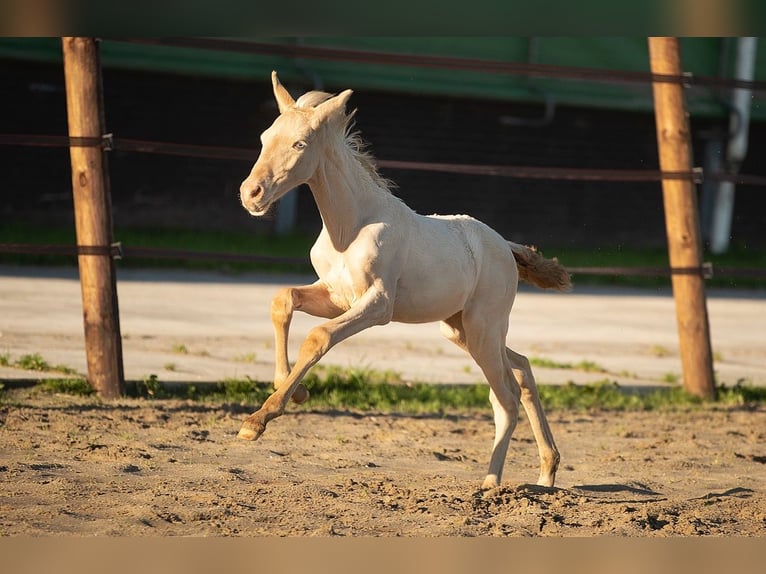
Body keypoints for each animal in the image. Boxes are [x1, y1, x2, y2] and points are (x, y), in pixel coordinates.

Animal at [238, 73, 568, 490]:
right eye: (265, 137)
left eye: (300, 143)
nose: (251, 194)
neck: (352, 226)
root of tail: (506, 247)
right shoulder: (336, 296)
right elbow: (283, 300)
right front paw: (295, 392)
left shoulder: (378, 305)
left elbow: (319, 336)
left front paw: (258, 421)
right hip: (459, 329)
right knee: (522, 369)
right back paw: (546, 473)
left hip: (482, 327)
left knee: (505, 396)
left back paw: (491, 483)